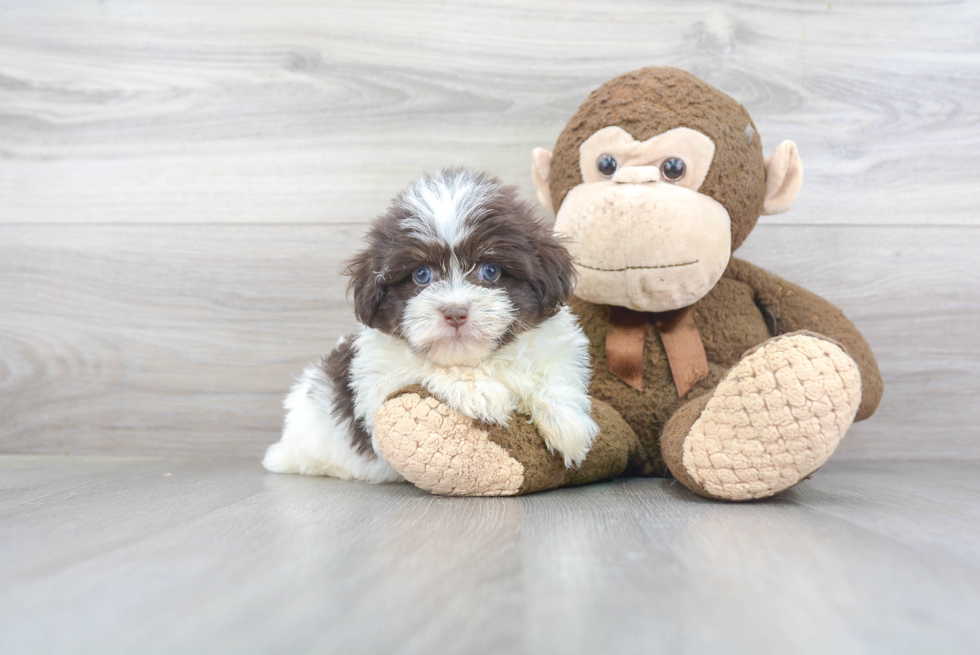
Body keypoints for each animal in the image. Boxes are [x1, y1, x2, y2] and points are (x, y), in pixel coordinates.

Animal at [260, 167, 596, 484]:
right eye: (421, 275)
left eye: (490, 270)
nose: (455, 312)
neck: (480, 359)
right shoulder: (377, 380)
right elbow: (424, 368)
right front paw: (480, 391)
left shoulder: (555, 349)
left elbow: (555, 376)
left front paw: (568, 425)